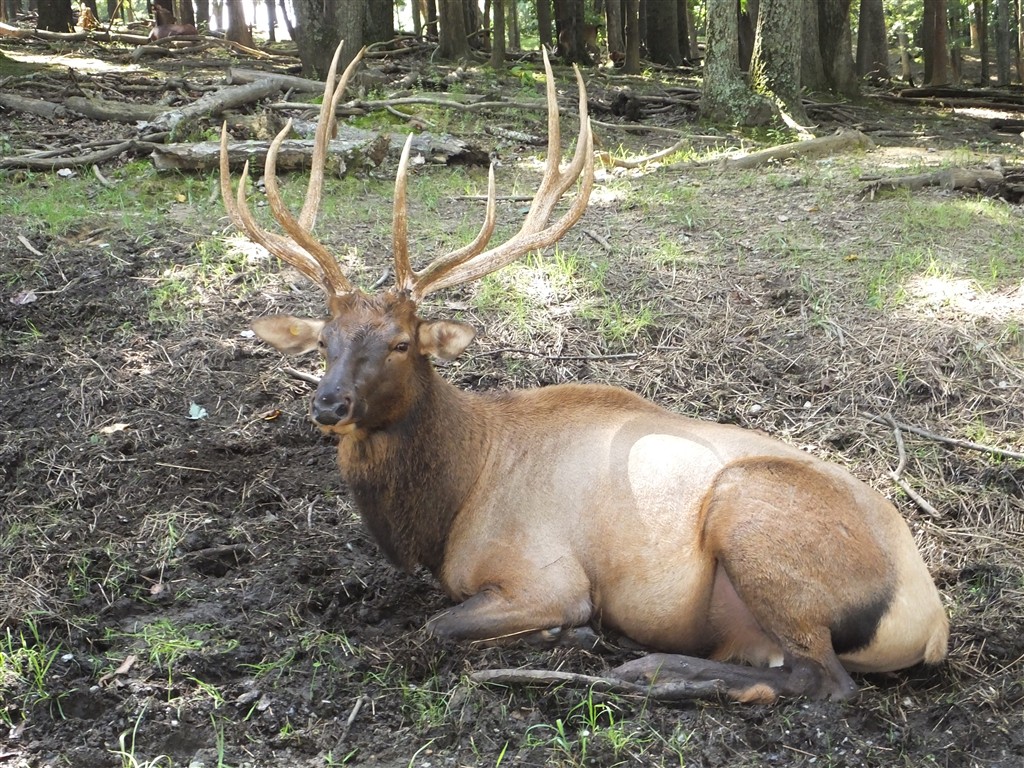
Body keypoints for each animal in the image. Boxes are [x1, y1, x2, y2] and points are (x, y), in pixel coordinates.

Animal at [219, 42, 949, 703]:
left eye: (401, 343)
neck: (451, 501)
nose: (329, 405)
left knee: (823, 681)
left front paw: (570, 636)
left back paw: (655, 670)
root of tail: (934, 618)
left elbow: (441, 624)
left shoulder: (546, 576)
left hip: (752, 517)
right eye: (326, 340)